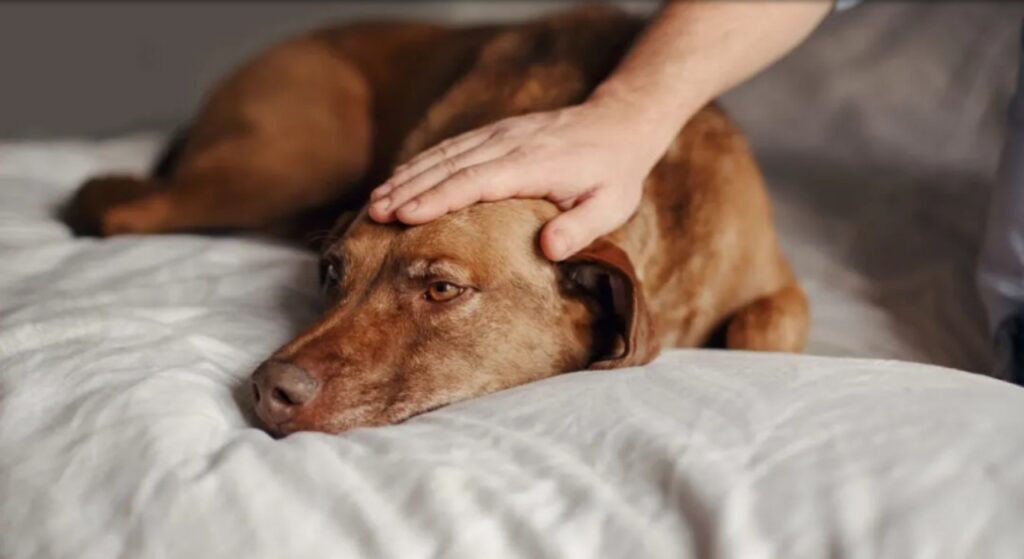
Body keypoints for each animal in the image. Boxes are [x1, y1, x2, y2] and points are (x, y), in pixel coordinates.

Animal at [68, 6, 811, 432]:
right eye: (331, 272)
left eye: (443, 289)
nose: (268, 389)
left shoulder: (775, 284)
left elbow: (765, 326)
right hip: (290, 159)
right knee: (120, 206)